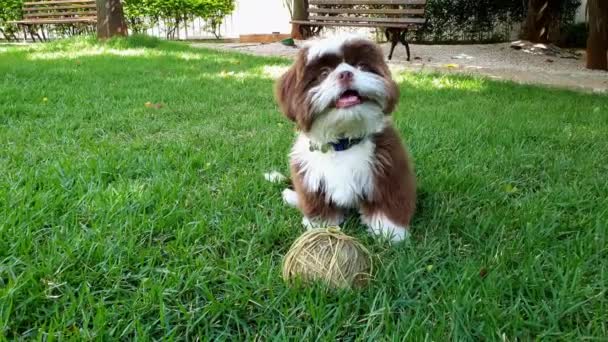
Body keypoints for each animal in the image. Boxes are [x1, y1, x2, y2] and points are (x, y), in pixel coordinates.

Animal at [274, 34, 416, 242]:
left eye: (362, 66)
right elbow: (318, 204)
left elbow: (388, 202)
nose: (346, 74)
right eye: (324, 73)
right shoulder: (309, 176)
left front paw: (391, 233)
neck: (343, 142)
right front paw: (320, 225)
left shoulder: (388, 170)